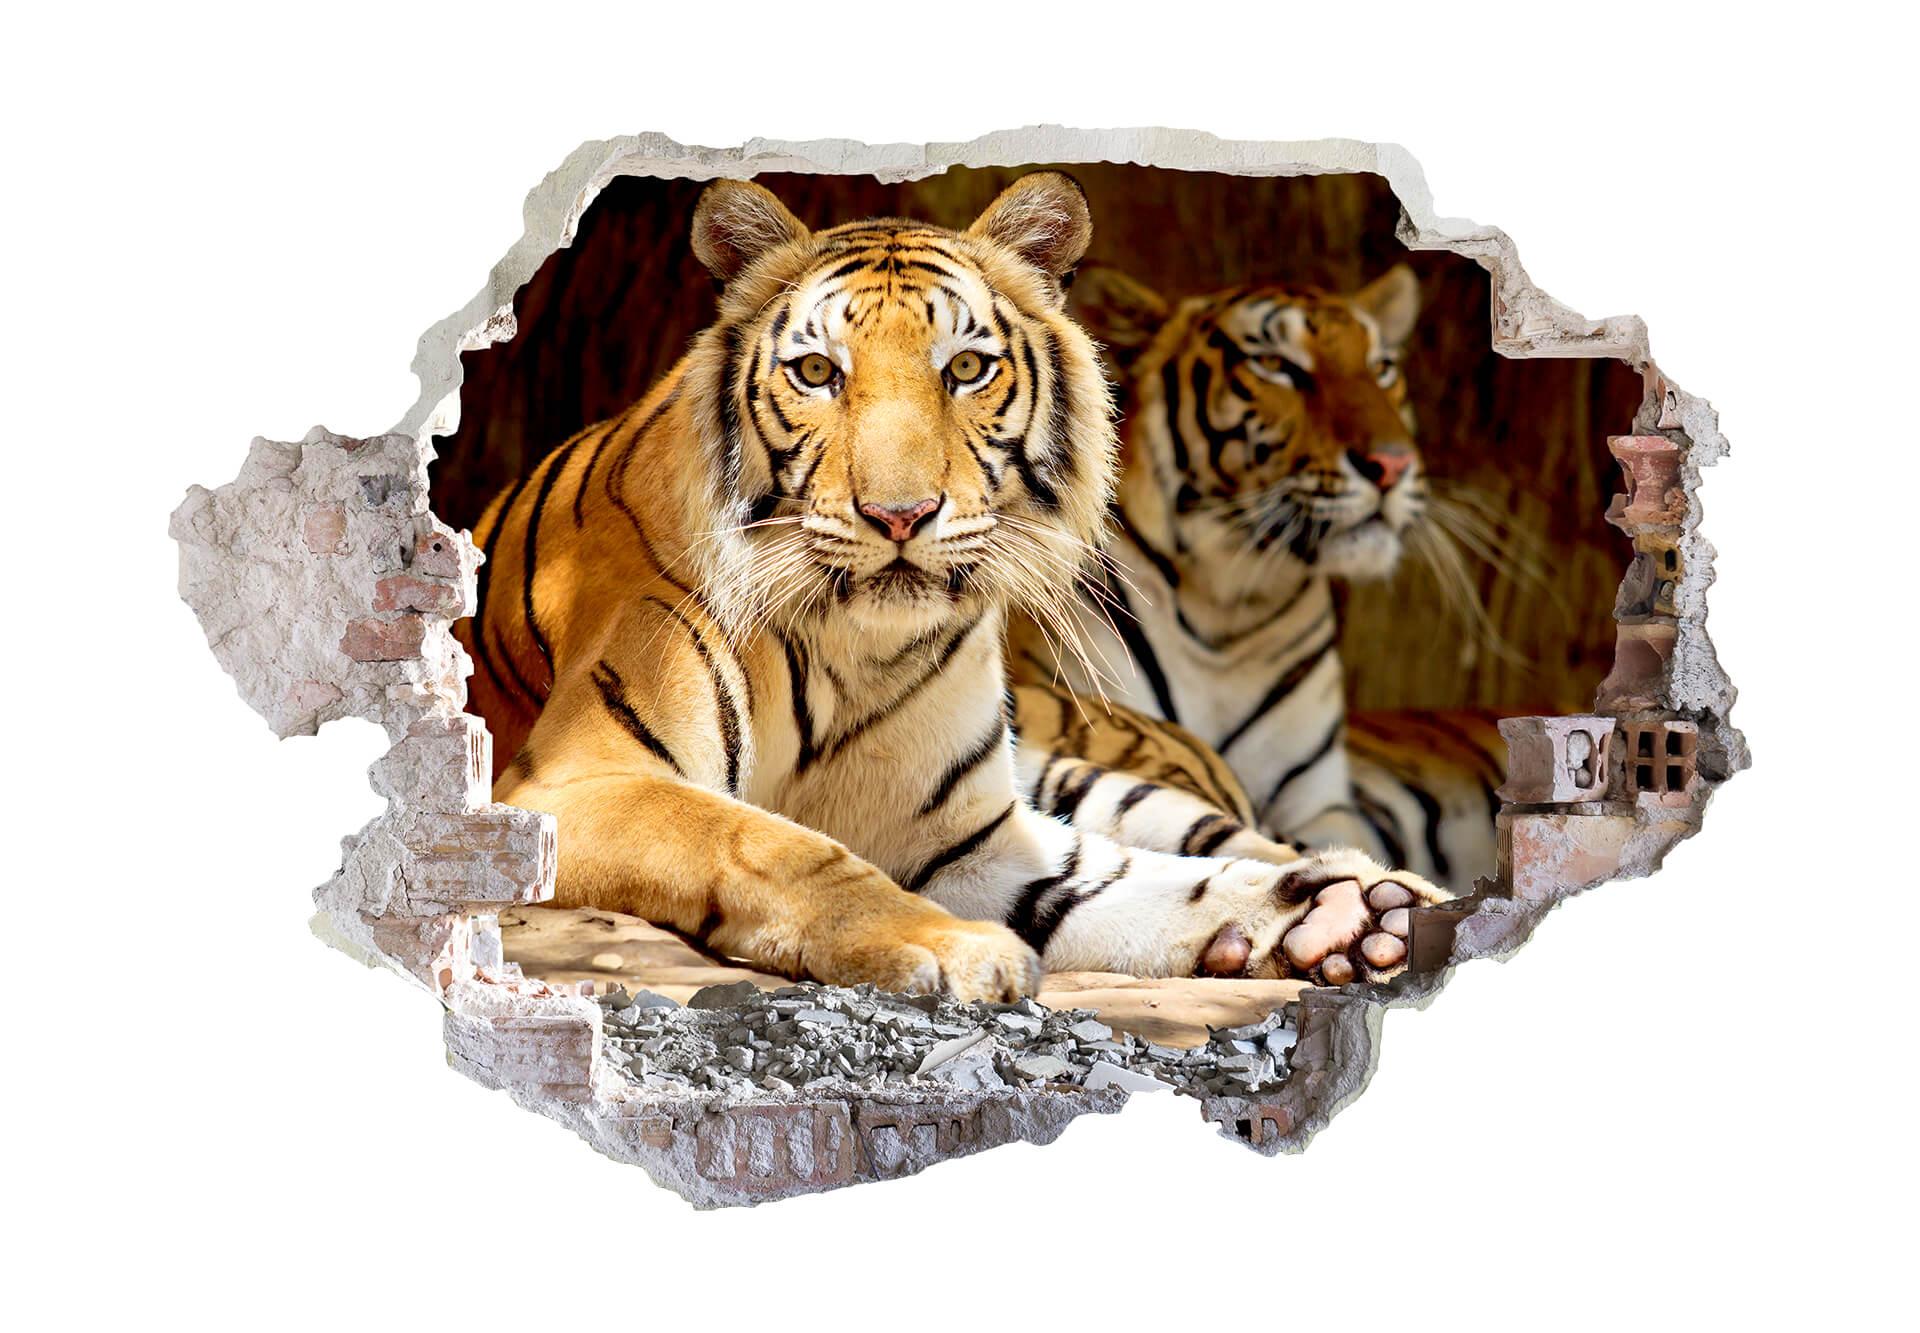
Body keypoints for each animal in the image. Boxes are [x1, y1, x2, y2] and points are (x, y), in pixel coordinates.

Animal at [455, 171, 1445, 1002]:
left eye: (966, 368)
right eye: (817, 372)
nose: (900, 515)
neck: (855, 649)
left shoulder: (972, 839)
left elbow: (1127, 882)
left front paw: (1322, 914)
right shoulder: (571, 785)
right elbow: (772, 841)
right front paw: (952, 946)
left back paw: (1378, 895)